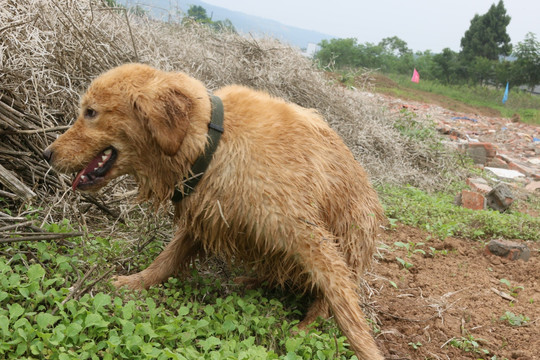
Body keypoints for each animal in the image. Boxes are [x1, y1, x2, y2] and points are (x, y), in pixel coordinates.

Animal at [44, 63, 386, 358]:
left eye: (91, 112)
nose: (47, 153)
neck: (212, 141)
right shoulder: (206, 213)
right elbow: (167, 258)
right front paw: (135, 281)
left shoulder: (309, 236)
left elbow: (342, 305)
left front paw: (341, 340)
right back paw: (250, 281)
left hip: (352, 236)